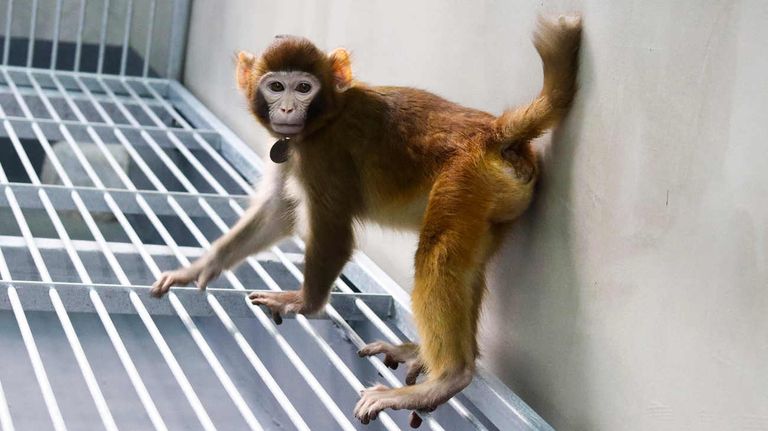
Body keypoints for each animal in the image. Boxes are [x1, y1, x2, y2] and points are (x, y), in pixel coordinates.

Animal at [151, 14, 582, 427]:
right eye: (275, 86)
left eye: (303, 88)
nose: (287, 109)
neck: (326, 117)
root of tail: (494, 133)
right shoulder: (294, 149)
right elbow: (278, 211)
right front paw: (199, 268)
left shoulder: (324, 154)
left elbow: (333, 233)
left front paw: (305, 303)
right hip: (492, 200)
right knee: (465, 266)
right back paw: (430, 356)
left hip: (464, 179)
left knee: (437, 257)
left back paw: (447, 377)